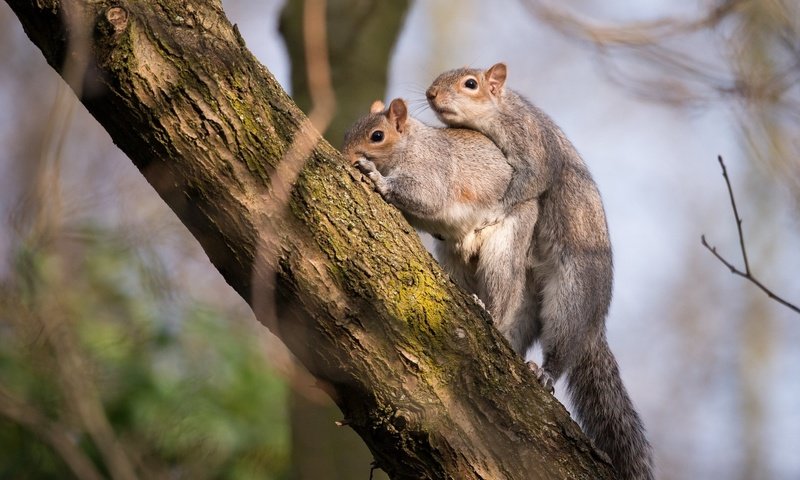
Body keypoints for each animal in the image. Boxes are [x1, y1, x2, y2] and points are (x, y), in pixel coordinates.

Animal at [340, 97, 540, 340]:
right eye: (347, 133)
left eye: (377, 136)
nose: (345, 156)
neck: (410, 143)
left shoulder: (432, 167)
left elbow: (428, 196)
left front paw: (376, 176)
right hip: (453, 257)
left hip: (507, 241)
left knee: (502, 286)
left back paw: (491, 315)